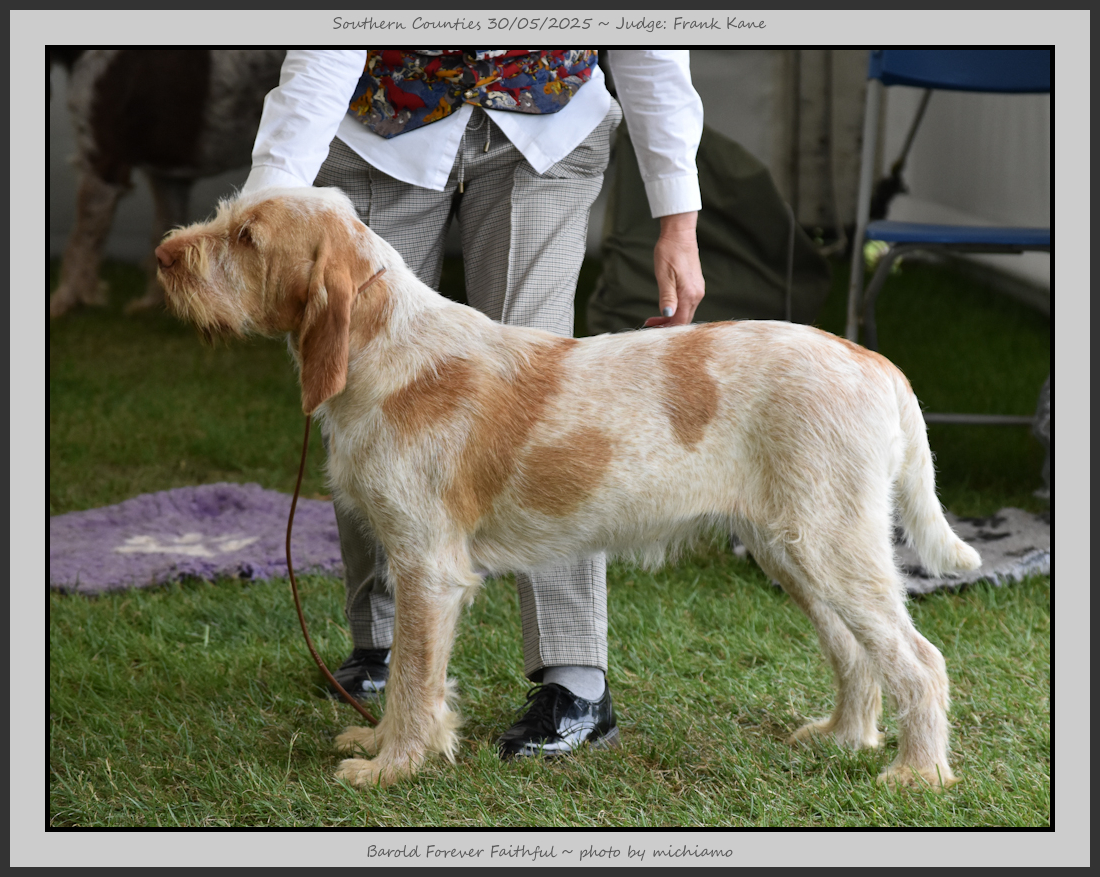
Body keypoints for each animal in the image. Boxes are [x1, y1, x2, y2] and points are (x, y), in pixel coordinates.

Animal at [156, 186, 981, 790]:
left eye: (247, 238)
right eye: (227, 214)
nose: (164, 255)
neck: (387, 347)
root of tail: (873, 361)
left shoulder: (429, 567)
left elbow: (415, 676)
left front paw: (392, 766)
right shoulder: (413, 562)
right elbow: (409, 678)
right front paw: (381, 739)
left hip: (832, 547)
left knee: (920, 659)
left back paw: (917, 773)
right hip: (795, 552)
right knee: (855, 653)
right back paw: (843, 737)